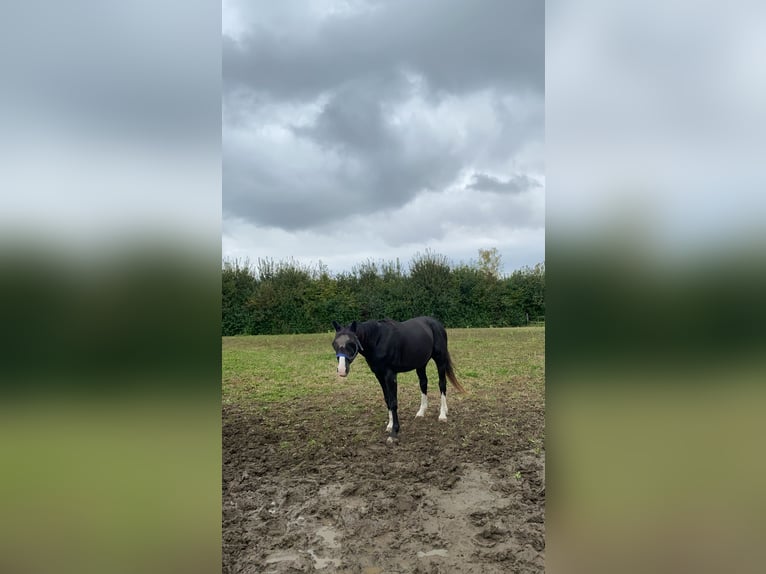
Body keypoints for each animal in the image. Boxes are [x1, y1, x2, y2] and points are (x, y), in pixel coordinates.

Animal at [328, 318, 462, 444]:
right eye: (334, 343)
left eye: (351, 343)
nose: (341, 370)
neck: (377, 340)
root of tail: (436, 323)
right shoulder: (379, 375)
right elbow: (387, 400)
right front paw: (390, 425)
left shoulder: (390, 375)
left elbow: (393, 402)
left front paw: (394, 433)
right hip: (421, 363)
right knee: (423, 383)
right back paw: (421, 412)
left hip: (440, 360)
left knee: (442, 384)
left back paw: (442, 414)